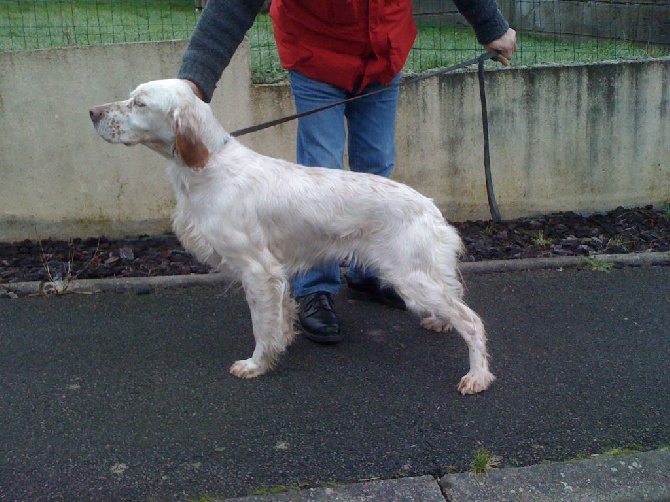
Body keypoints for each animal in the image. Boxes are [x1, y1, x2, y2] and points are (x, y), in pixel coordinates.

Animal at [90, 78, 498, 394]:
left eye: (139, 103)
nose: (92, 112)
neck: (207, 165)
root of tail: (431, 208)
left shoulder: (258, 269)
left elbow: (260, 325)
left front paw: (256, 364)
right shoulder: (275, 273)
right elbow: (279, 316)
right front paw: (282, 342)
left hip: (411, 277)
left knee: (472, 320)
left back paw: (477, 376)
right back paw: (440, 323)